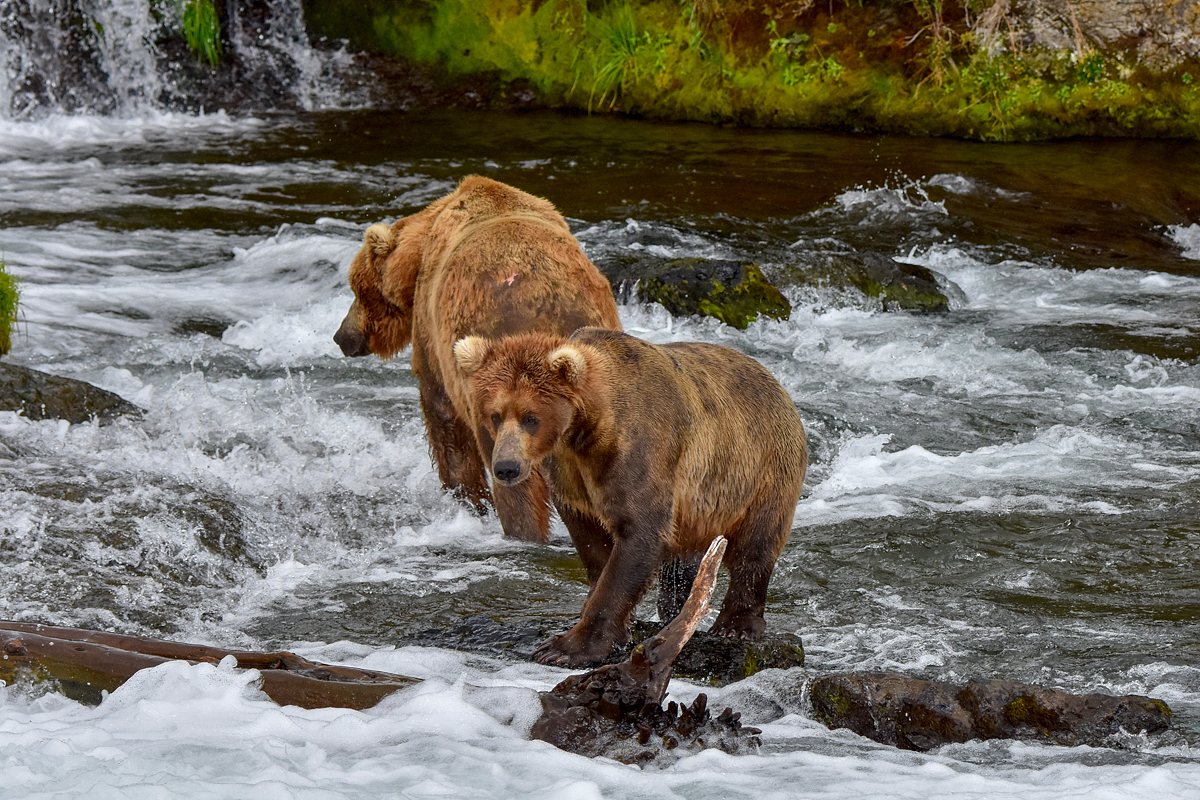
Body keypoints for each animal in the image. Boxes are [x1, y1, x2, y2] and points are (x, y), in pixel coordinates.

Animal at [336, 177, 624, 544]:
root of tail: (545, 305)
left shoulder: (434, 336)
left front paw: (466, 499)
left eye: (356, 289)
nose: (342, 336)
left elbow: (443, 417)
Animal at [453, 326, 811, 671]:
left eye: (531, 417)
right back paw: (675, 611)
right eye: (495, 414)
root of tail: (775, 381)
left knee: (757, 543)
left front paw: (564, 648)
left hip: (762, 468)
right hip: (700, 505)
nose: (506, 467)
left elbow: (638, 536)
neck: (587, 430)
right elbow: (592, 541)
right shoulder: (571, 476)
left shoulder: (640, 453)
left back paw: (735, 625)